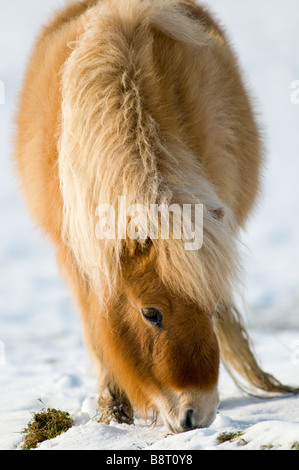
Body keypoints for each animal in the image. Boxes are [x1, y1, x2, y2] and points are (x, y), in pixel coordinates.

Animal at [13, 0, 298, 434]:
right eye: (151, 313)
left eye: (210, 308)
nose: (198, 415)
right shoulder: (79, 255)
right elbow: (96, 327)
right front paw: (112, 410)